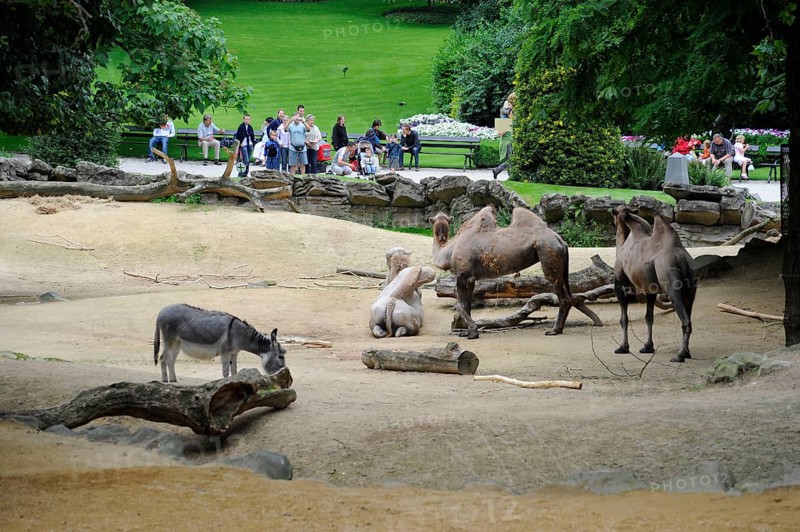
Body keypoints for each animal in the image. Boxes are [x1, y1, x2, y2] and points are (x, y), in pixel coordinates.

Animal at [429, 205, 573, 339]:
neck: (448, 251)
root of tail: (560, 240)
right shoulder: (471, 278)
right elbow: (467, 305)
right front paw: (466, 332)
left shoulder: (463, 275)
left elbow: (460, 305)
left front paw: (473, 332)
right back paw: (558, 329)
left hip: (548, 252)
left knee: (561, 294)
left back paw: (554, 330)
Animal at [611, 205, 696, 362]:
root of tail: (681, 258)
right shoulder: (650, 291)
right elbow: (649, 317)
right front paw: (647, 347)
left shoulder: (619, 284)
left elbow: (624, 318)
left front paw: (623, 347)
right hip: (692, 288)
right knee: (689, 313)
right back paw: (687, 352)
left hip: (672, 285)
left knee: (685, 320)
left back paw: (680, 355)